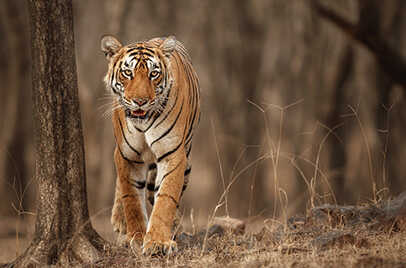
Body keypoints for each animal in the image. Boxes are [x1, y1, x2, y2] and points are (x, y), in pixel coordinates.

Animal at [101, 35, 200, 255]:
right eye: (127, 73)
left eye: (153, 74)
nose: (140, 101)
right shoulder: (126, 155)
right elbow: (131, 198)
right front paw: (137, 237)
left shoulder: (173, 153)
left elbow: (166, 198)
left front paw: (157, 242)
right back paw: (119, 221)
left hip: (187, 162)